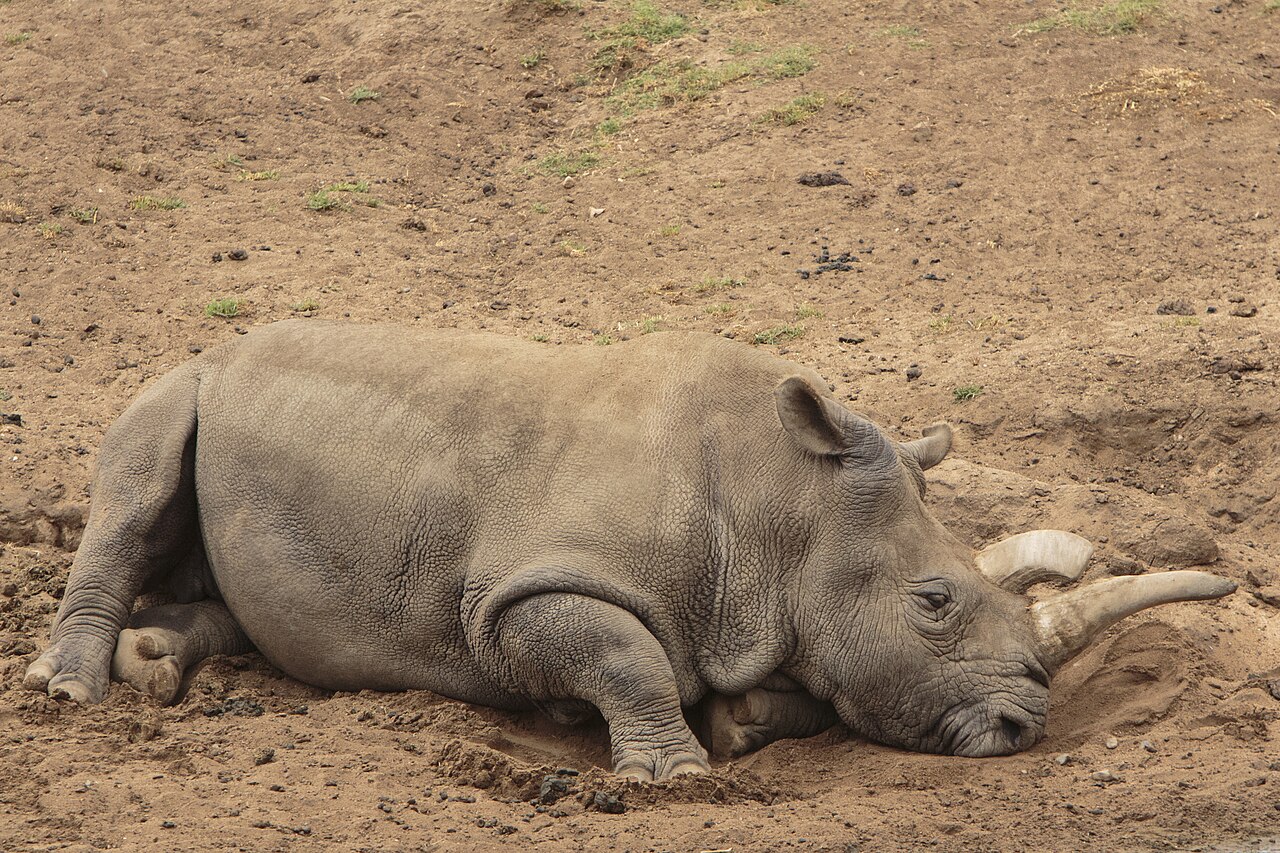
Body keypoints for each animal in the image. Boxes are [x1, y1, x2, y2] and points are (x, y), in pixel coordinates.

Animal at [25, 321, 1235, 780]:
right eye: (933, 601)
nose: (1024, 725)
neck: (780, 506)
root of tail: (225, 345)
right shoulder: (510, 597)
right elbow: (622, 654)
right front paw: (672, 771)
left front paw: (740, 721)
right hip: (186, 378)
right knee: (137, 475)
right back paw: (73, 690)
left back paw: (152, 663)